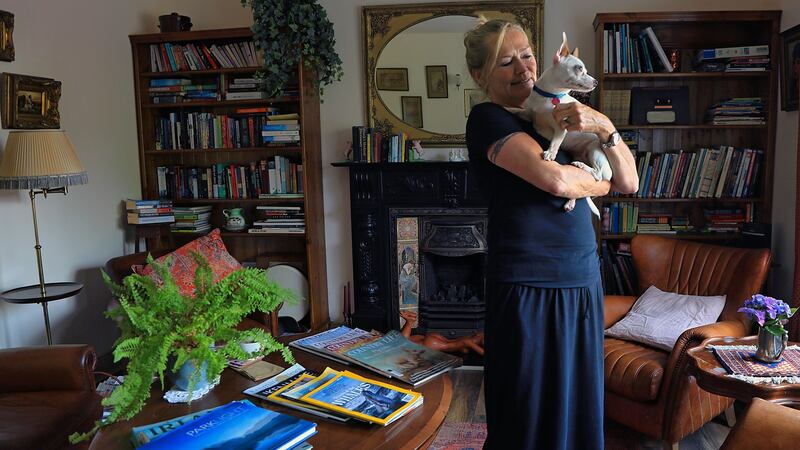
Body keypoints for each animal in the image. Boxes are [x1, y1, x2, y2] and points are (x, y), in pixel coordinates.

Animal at [510, 31, 616, 216]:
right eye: (579, 68)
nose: (596, 82)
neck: (549, 96)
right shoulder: (529, 114)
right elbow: (518, 111)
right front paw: (505, 107)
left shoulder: (561, 127)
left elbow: (556, 141)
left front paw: (550, 154)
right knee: (581, 191)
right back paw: (571, 201)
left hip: (595, 152)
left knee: (597, 176)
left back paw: (582, 166)